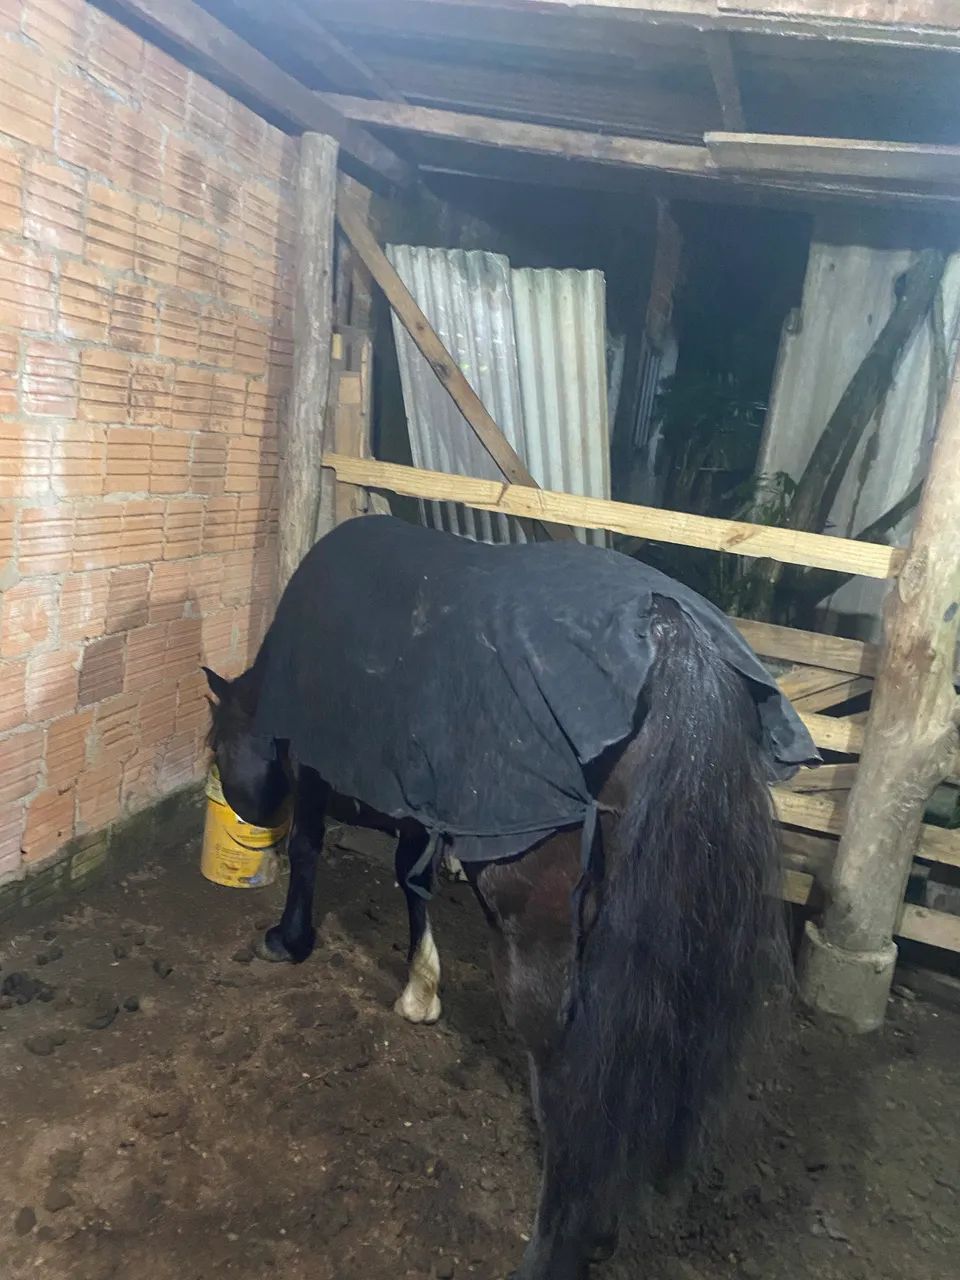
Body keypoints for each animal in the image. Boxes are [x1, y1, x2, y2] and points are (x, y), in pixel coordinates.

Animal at [204, 514, 816, 1280]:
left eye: (217, 744)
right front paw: (419, 989)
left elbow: (314, 849)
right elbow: (411, 876)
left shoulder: (317, 760)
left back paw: (558, 1241)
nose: (242, 807)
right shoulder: (420, 790)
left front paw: (289, 939)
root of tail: (670, 636)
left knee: (567, 1064)